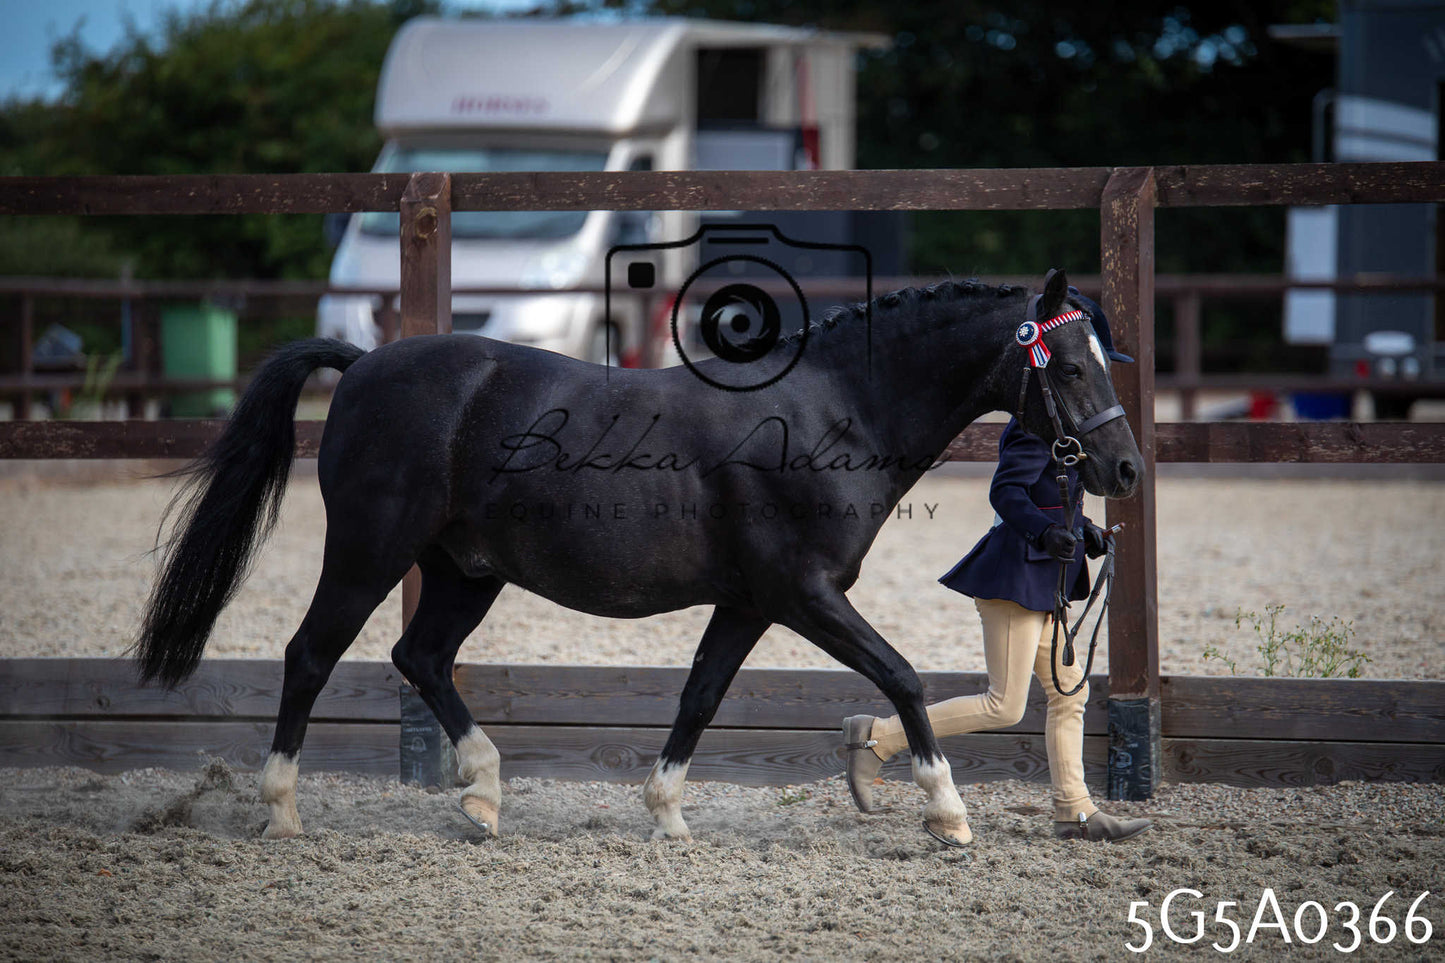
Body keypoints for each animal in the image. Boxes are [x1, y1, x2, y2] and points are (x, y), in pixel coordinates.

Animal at [135, 268, 1142, 847]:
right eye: (1070, 365)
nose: (1123, 469)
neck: (831, 410)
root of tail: (362, 364)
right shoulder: (803, 593)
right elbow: (898, 675)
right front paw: (947, 813)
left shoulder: (750, 602)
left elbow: (699, 696)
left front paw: (665, 812)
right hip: (368, 551)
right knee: (311, 654)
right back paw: (282, 809)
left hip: (466, 570)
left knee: (418, 655)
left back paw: (483, 796)